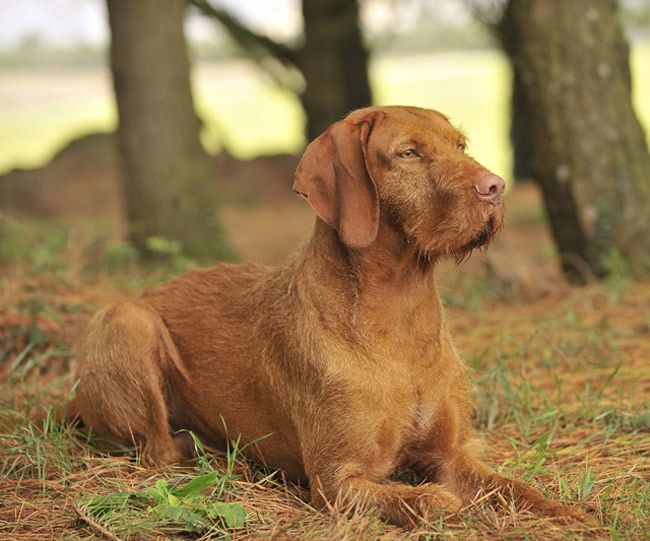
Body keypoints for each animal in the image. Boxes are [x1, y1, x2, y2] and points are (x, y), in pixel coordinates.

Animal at [73, 105, 584, 524]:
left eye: (460, 146)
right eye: (408, 153)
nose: (496, 187)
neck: (400, 314)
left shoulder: (451, 455)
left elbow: (512, 487)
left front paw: (567, 510)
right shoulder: (337, 481)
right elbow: (419, 499)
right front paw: (437, 502)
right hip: (129, 323)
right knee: (157, 451)